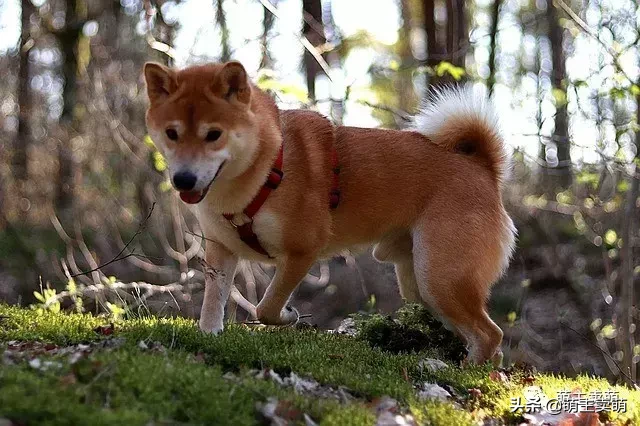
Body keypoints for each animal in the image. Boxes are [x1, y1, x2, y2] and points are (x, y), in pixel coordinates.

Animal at [144, 60, 516, 362]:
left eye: (214, 134)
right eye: (172, 133)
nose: (183, 179)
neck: (267, 167)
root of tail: (483, 168)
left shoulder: (302, 251)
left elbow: (267, 307)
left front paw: (289, 315)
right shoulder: (221, 251)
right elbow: (212, 304)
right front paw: (209, 337)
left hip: (441, 278)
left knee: (490, 334)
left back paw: (470, 372)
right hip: (421, 285)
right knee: (487, 339)